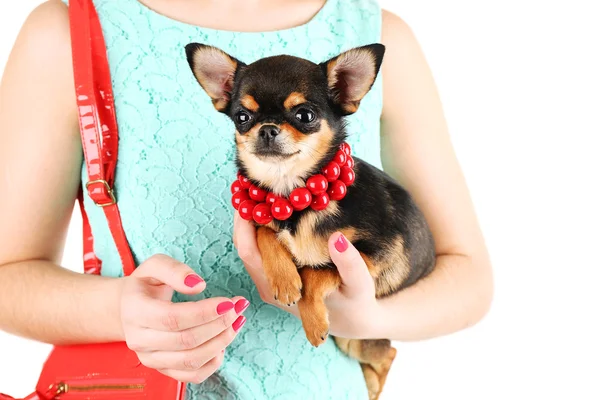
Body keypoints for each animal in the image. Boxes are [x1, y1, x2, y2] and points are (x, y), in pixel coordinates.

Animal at [185, 42, 434, 398]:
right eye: (242, 117)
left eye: (305, 115)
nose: (267, 129)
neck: (291, 195)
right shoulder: (266, 219)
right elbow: (265, 232)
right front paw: (285, 278)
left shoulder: (377, 256)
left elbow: (318, 272)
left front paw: (312, 318)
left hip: (357, 336)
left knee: (389, 354)